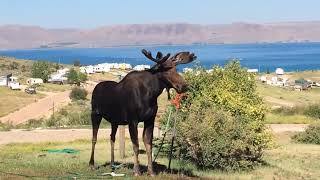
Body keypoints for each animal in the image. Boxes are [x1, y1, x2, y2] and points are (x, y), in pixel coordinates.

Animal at [89, 48, 196, 176]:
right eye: (165, 71)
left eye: (175, 69)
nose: (184, 86)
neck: (151, 94)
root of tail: (95, 88)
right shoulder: (132, 120)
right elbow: (136, 145)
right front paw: (137, 171)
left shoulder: (150, 120)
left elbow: (148, 144)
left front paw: (151, 171)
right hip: (95, 114)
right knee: (94, 138)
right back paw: (92, 164)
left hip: (114, 121)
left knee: (112, 138)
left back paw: (112, 165)